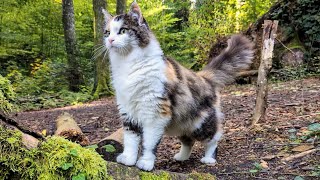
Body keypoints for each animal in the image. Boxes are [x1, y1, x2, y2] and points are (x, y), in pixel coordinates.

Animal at [101, 0, 254, 171]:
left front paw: (146, 162)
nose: (110, 40)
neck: (128, 65)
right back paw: (181, 157)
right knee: (189, 141)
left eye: (123, 30)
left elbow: (148, 143)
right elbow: (131, 140)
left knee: (214, 137)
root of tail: (203, 76)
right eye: (107, 32)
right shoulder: (128, 111)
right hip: (180, 124)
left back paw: (209, 158)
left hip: (200, 124)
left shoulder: (155, 113)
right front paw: (128, 158)